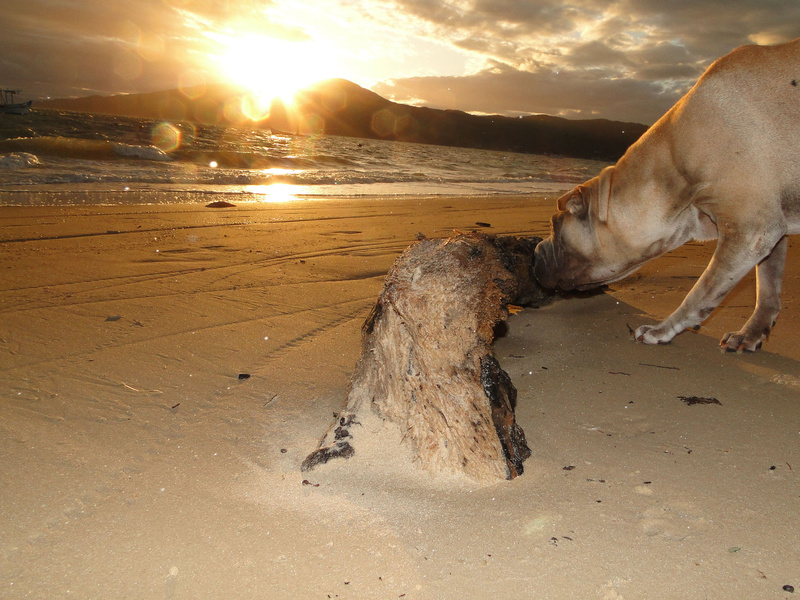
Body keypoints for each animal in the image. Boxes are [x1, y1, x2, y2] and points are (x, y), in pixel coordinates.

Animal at [536, 38, 800, 352]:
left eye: (555, 224)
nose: (535, 252)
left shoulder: (752, 230)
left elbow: (700, 293)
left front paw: (662, 330)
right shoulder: (773, 231)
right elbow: (767, 289)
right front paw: (751, 333)